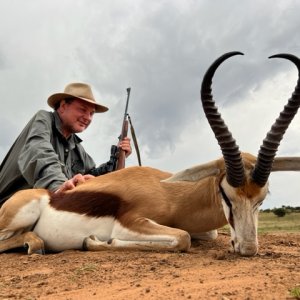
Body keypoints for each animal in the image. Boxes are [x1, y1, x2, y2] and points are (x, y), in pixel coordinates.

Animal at [0, 52, 300, 255]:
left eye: (263, 198)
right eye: (226, 193)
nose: (248, 248)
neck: (171, 194)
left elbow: (205, 234)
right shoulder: (132, 222)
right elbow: (182, 238)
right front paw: (94, 241)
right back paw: (34, 243)